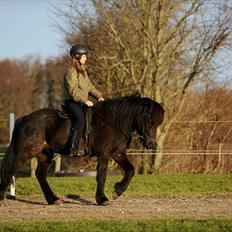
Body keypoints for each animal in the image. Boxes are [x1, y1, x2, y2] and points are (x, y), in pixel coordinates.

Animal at [0, 94, 164, 205]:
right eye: (149, 120)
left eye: (158, 123)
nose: (152, 145)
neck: (113, 121)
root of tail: (26, 118)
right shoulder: (104, 154)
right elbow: (101, 176)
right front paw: (102, 199)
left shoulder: (117, 153)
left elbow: (130, 170)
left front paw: (117, 191)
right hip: (25, 152)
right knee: (10, 171)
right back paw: (1, 197)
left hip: (45, 154)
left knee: (40, 175)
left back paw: (53, 199)